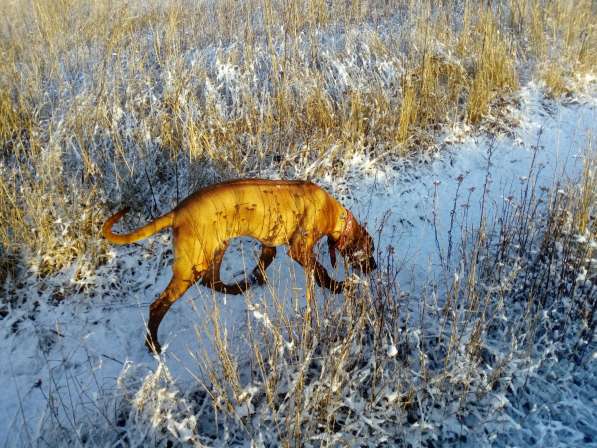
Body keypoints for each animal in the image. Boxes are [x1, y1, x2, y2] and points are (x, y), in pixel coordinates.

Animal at [100, 178, 374, 354]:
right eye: (369, 251)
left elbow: (265, 261)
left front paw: (256, 279)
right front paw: (338, 287)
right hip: (192, 265)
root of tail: (177, 211)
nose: (374, 267)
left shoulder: (269, 244)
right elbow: (320, 271)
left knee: (211, 281)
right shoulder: (299, 249)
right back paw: (152, 344)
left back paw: (238, 288)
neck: (330, 210)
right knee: (159, 304)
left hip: (217, 247)